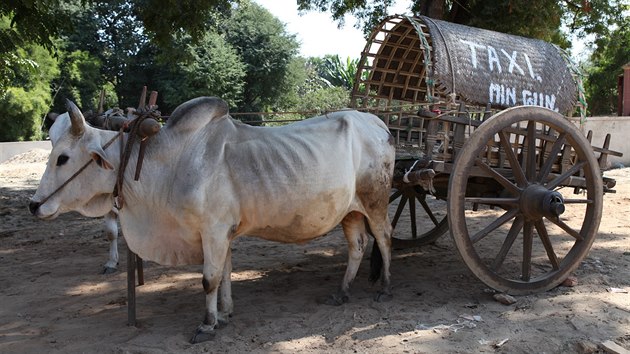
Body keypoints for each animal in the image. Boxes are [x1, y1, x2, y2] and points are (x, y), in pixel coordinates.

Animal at [30, 97, 396, 342]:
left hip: (375, 201)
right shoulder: (223, 234)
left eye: (63, 158)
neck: (168, 165)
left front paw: (207, 324)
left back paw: (385, 287)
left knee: (384, 238)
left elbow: (209, 279)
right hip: (350, 211)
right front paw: (225, 313)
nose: (34, 205)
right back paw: (342, 291)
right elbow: (225, 274)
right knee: (358, 246)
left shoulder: (214, 231)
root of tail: (378, 123)